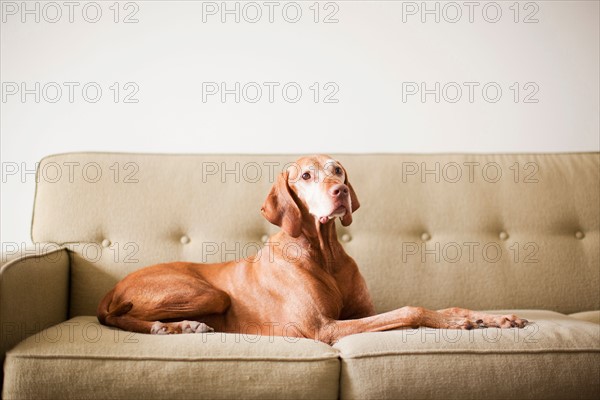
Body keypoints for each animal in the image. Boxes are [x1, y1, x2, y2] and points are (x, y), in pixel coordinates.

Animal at [96, 154, 528, 344]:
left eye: (338, 170)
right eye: (305, 175)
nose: (340, 192)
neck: (326, 254)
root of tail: (110, 290)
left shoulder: (361, 314)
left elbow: (446, 305)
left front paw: (495, 318)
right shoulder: (324, 328)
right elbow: (411, 310)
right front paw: (455, 323)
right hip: (209, 293)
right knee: (120, 318)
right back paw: (172, 326)